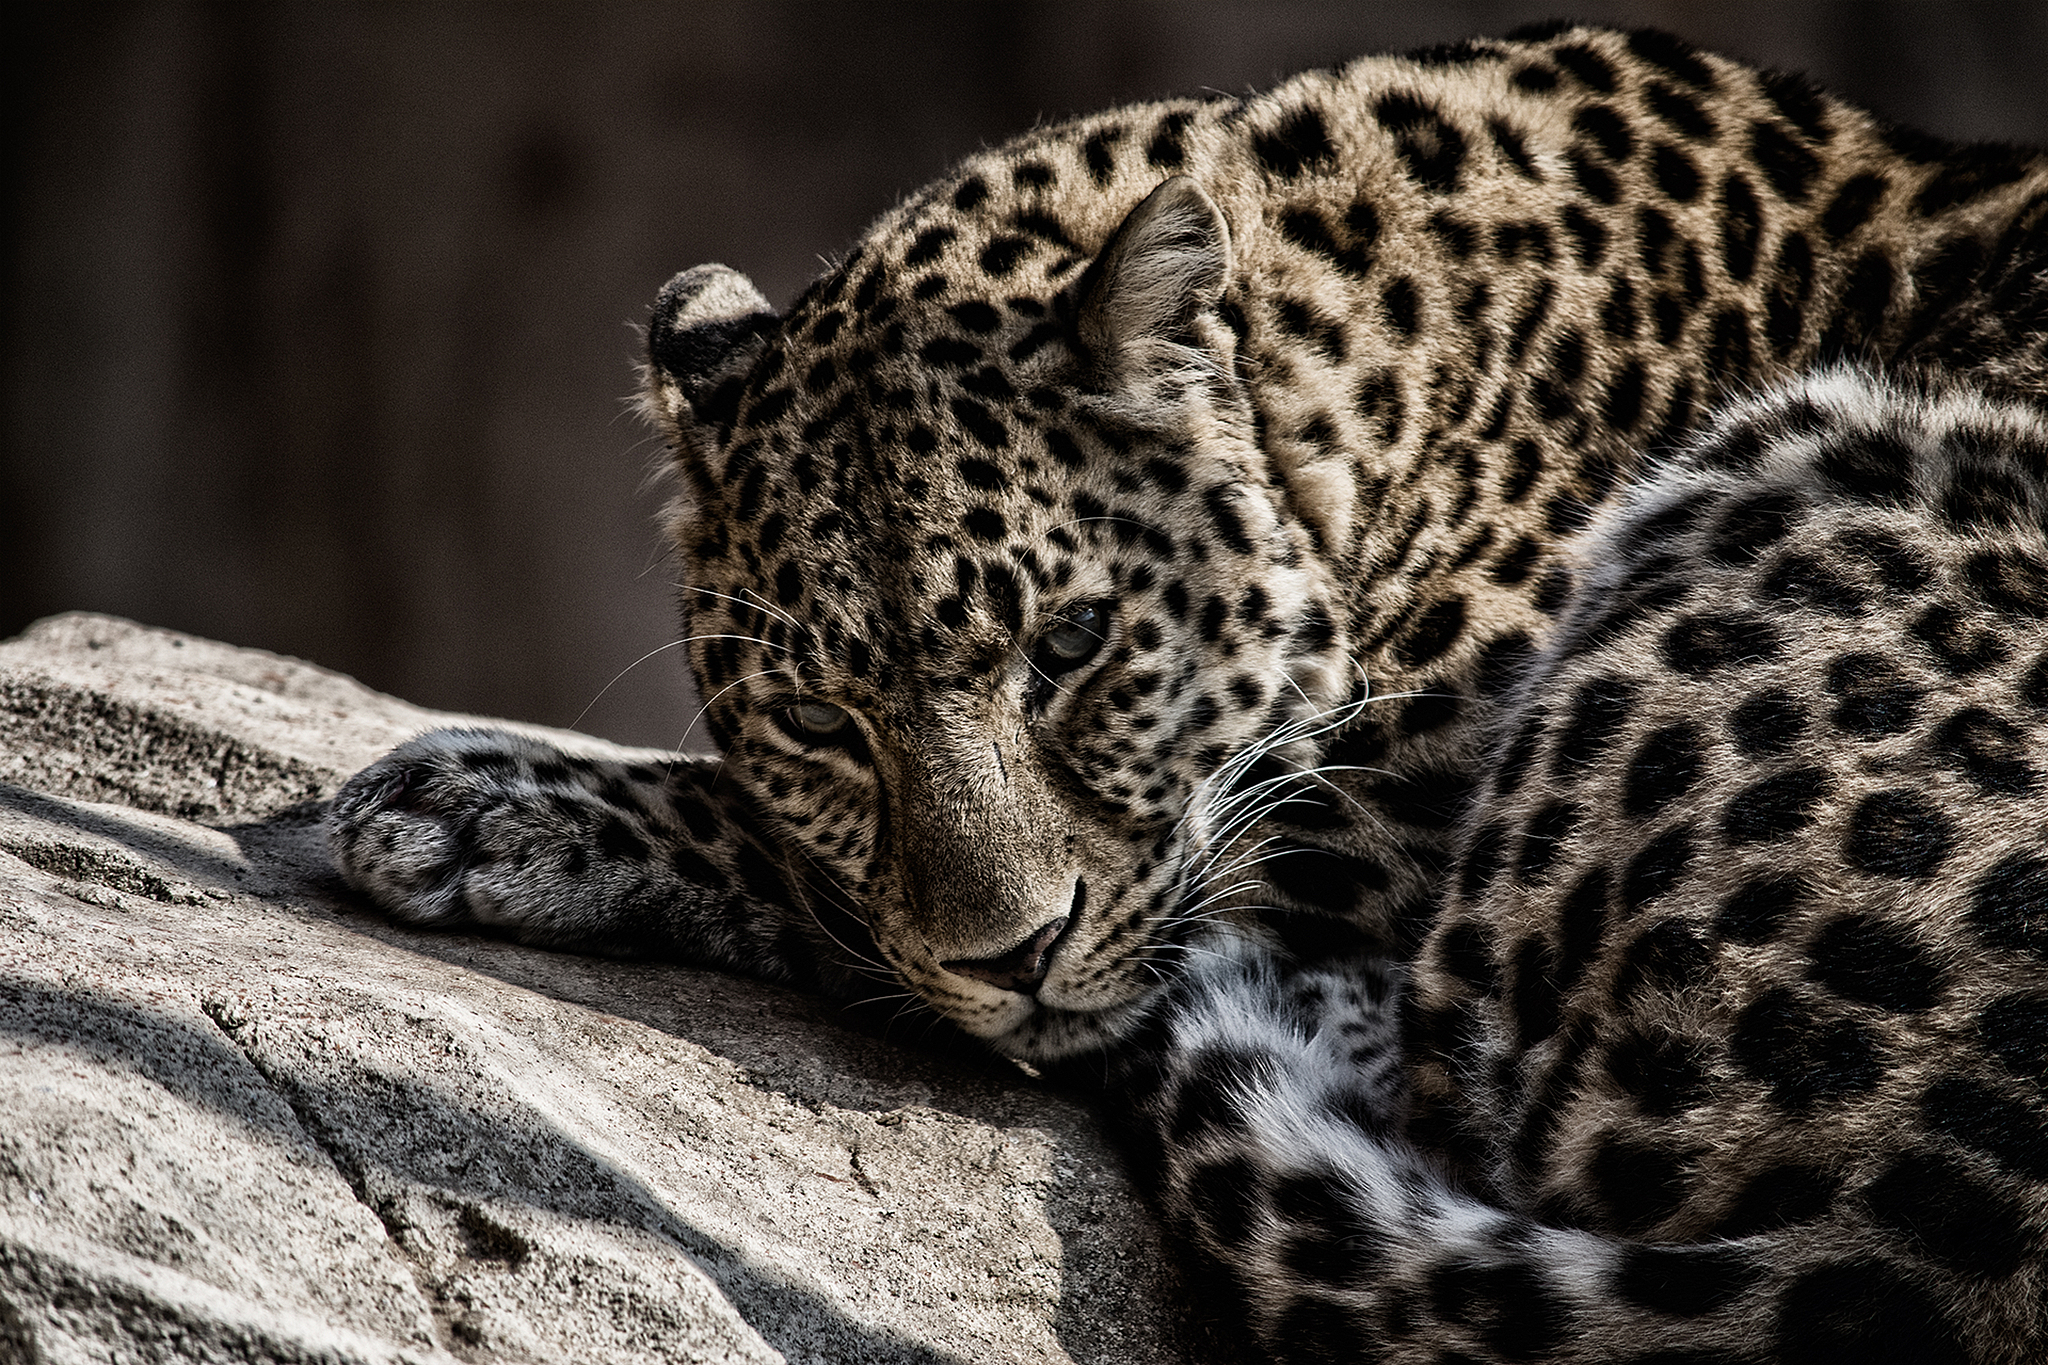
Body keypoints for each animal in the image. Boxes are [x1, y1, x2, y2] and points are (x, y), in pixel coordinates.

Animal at [327, 24, 2039, 1365]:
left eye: (1074, 642)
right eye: (818, 724)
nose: (1013, 958)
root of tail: (1936, 1218)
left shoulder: (1342, 846)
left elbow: (841, 898)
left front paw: (481, 801)